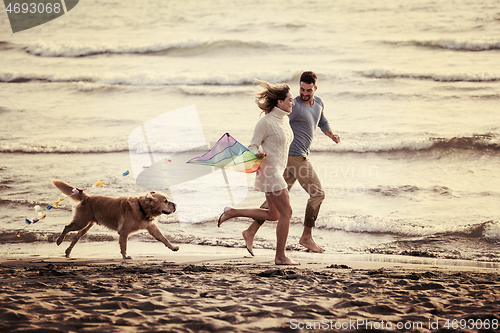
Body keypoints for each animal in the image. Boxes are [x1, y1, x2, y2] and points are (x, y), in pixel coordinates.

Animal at [50, 180, 179, 258]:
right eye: (165, 201)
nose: (176, 205)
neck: (142, 208)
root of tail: (86, 197)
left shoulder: (151, 227)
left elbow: (163, 238)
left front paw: (173, 247)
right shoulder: (124, 231)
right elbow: (124, 245)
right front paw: (125, 256)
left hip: (87, 225)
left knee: (76, 236)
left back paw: (68, 252)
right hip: (81, 222)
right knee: (67, 227)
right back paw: (59, 240)